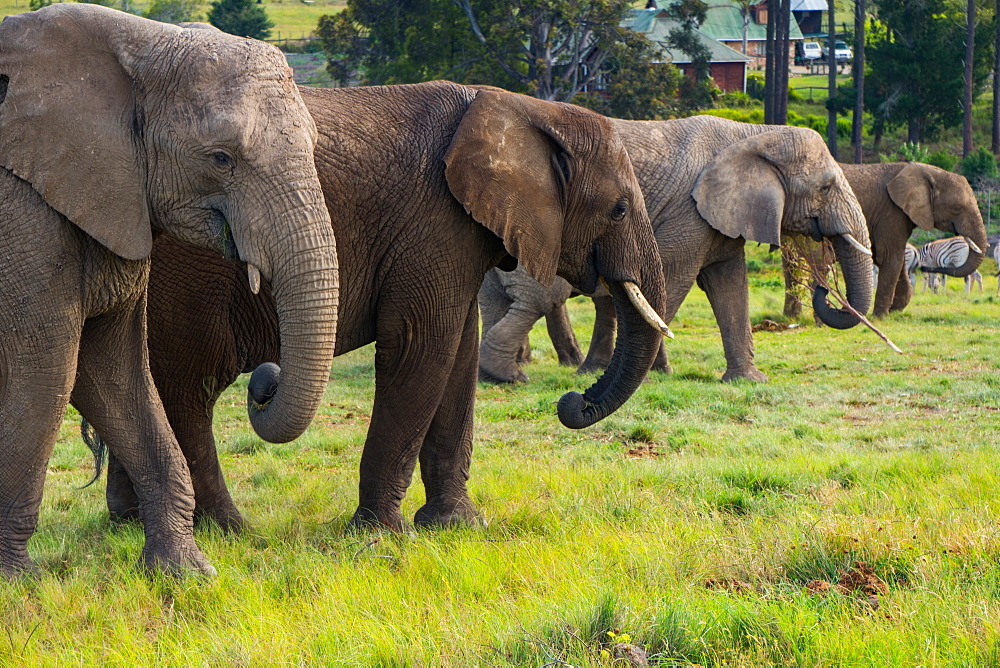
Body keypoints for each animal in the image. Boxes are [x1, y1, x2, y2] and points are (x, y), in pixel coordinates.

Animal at [0, 5, 340, 576]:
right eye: (222, 158)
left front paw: (184, 572)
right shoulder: (24, 215)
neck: (139, 44)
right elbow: (45, 367)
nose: (265, 380)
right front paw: (18, 580)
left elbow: (111, 368)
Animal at [101, 82, 668, 532]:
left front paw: (457, 526)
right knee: (188, 389)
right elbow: (421, 348)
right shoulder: (435, 223)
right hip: (184, 276)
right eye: (619, 210)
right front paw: (380, 536)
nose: (570, 400)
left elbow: (458, 356)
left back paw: (127, 524)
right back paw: (229, 530)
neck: (528, 110)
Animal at [480, 117, 872, 384]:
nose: (826, 289)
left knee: (497, 300)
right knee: (541, 298)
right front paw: (656, 374)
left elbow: (730, 285)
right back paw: (508, 375)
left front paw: (747, 381)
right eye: (826, 187)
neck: (753, 134)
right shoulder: (688, 212)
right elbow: (673, 280)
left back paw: (494, 375)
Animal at [780, 162, 984, 318]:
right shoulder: (891, 212)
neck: (925, 170)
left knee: (790, 263)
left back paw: (792, 316)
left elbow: (897, 261)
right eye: (957, 208)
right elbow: (890, 259)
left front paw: (896, 310)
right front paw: (881, 316)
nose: (926, 268)